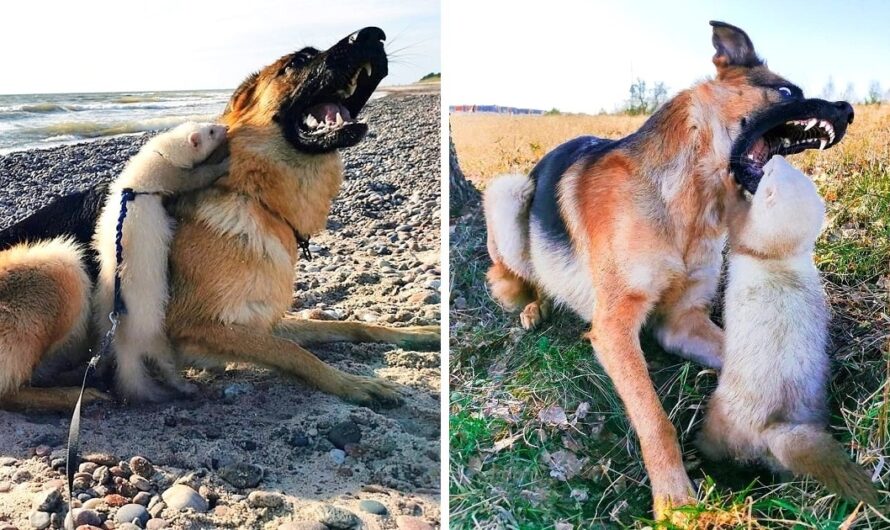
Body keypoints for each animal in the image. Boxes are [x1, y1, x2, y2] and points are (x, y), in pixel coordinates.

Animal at [0, 26, 438, 408]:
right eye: (298, 61)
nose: (374, 34)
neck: (255, 197)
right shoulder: (201, 327)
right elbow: (292, 350)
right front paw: (353, 383)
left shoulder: (256, 319)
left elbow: (343, 326)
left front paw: (414, 334)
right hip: (59, 263)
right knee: (9, 391)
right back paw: (77, 395)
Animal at [482, 22, 856, 516]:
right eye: (785, 91)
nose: (848, 109)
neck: (686, 200)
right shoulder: (615, 328)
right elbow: (655, 419)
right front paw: (676, 502)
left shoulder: (681, 322)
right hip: (506, 194)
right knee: (519, 277)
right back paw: (532, 306)